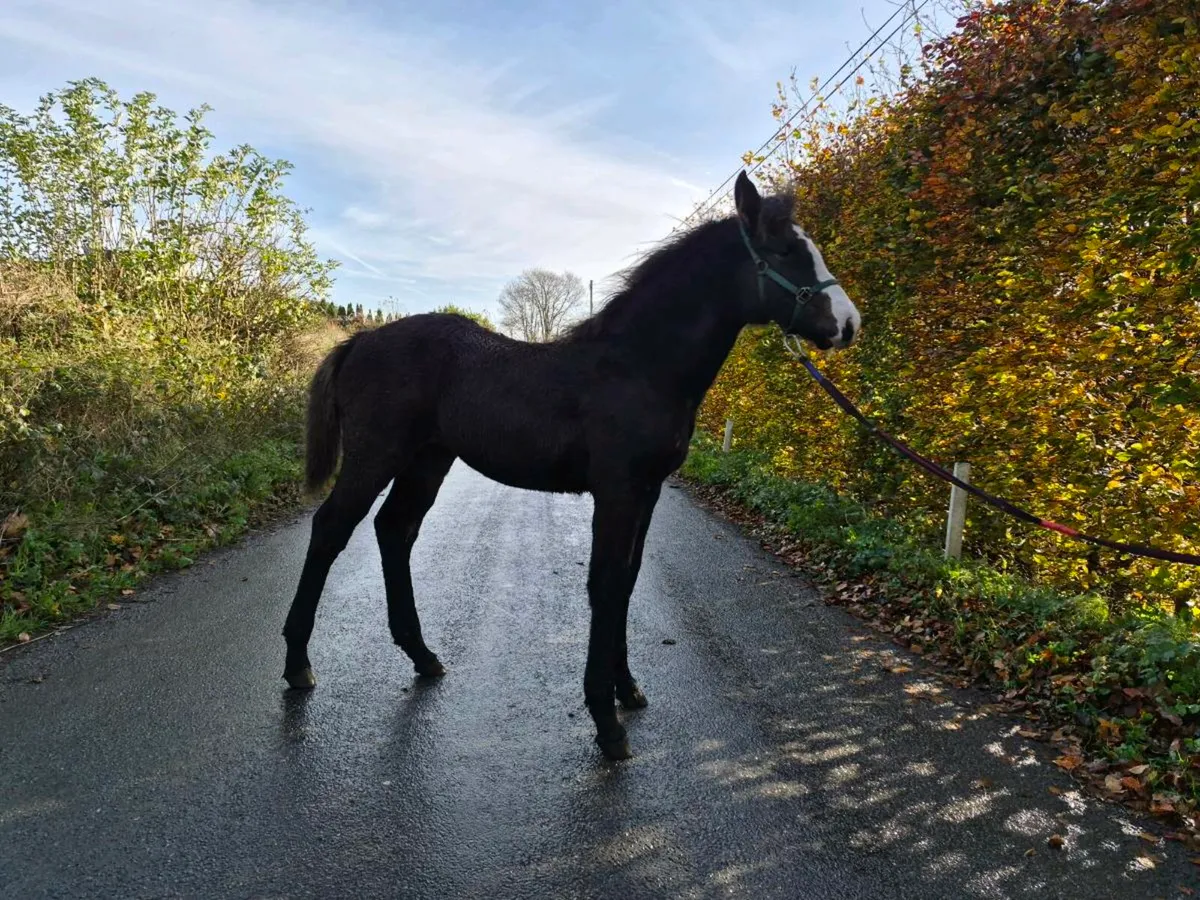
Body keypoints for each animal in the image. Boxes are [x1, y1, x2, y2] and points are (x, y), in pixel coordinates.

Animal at [281, 170, 861, 760]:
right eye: (784, 250)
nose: (848, 324)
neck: (639, 367)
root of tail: (359, 341)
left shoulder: (648, 491)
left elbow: (626, 580)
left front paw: (626, 688)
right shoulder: (617, 491)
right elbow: (604, 584)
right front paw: (606, 723)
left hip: (427, 461)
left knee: (395, 530)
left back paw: (422, 656)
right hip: (376, 456)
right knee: (332, 529)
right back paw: (298, 664)